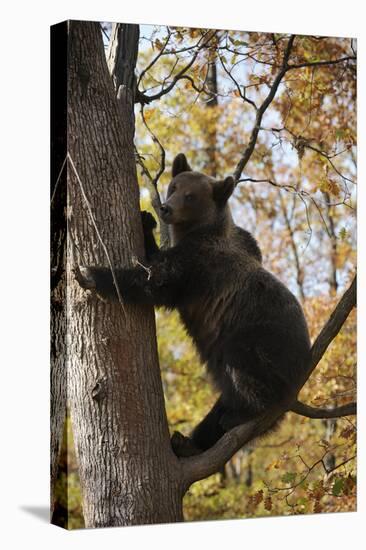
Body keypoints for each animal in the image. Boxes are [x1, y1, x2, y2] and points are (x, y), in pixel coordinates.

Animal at [78, 153, 310, 460]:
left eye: (191, 196)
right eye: (174, 186)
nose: (165, 208)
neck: (198, 231)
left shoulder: (199, 266)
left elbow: (155, 282)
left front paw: (91, 273)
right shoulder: (242, 243)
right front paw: (145, 220)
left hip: (259, 342)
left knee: (244, 372)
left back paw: (238, 416)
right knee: (220, 407)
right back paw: (188, 441)